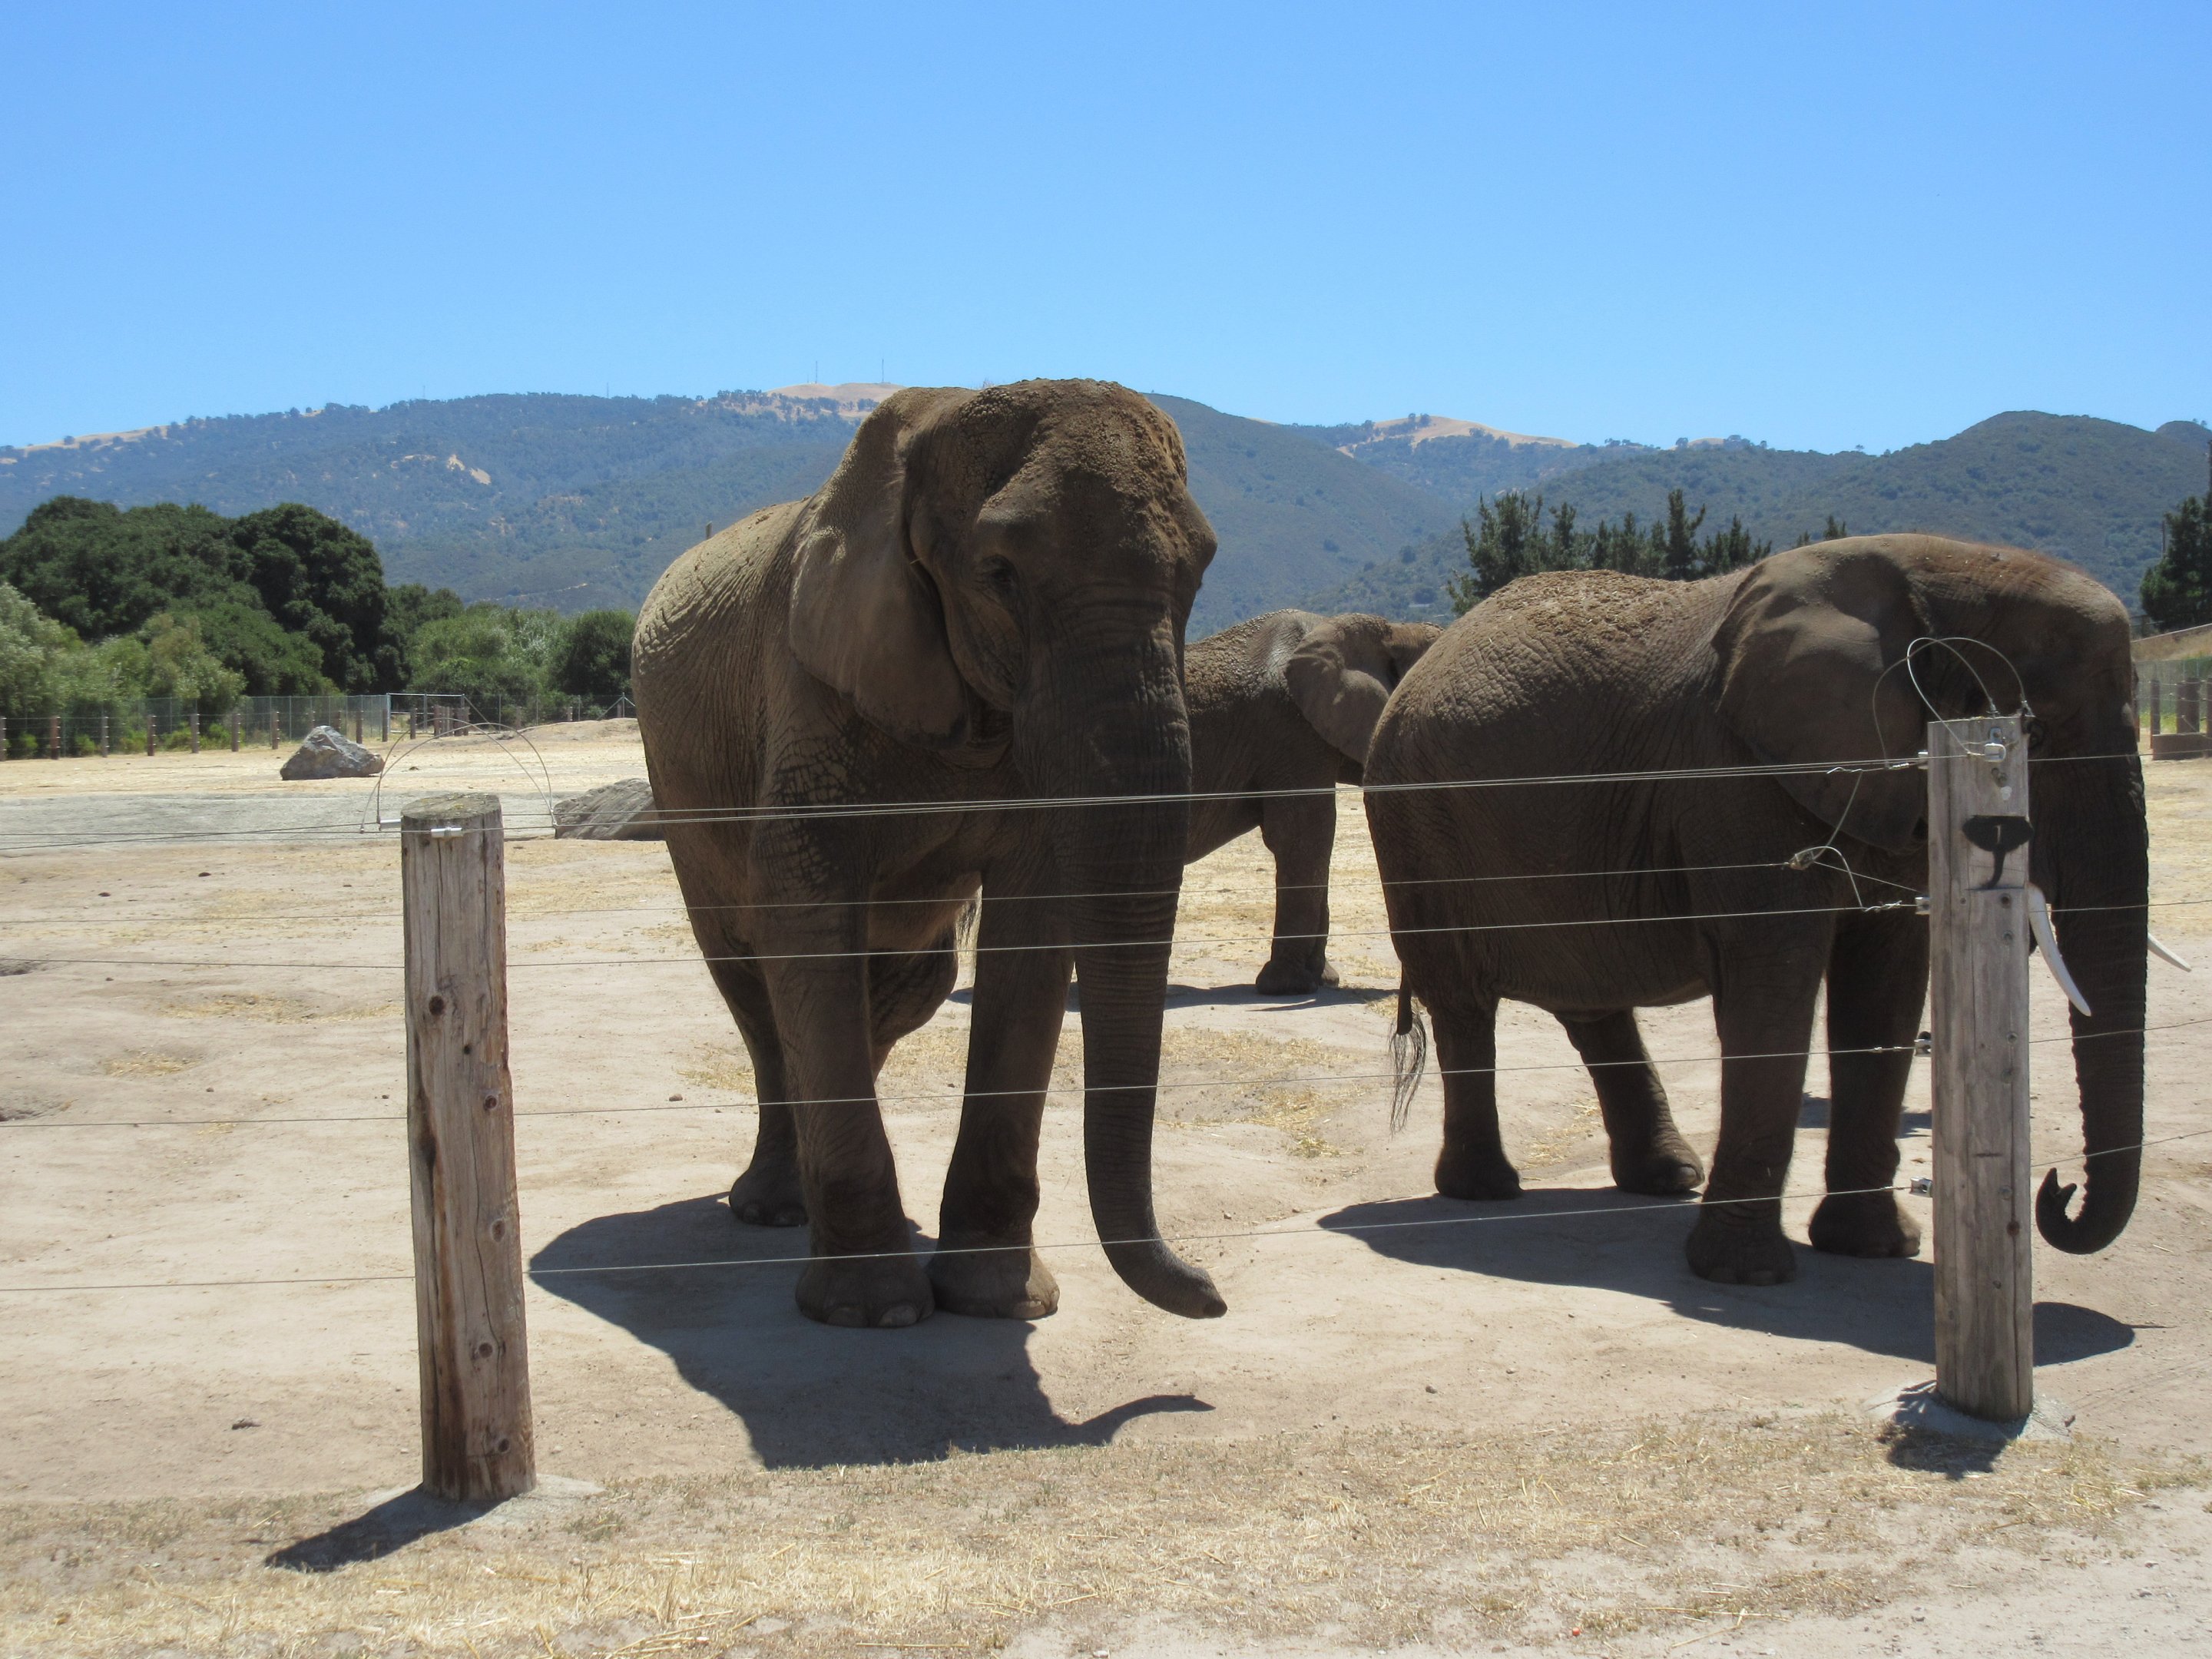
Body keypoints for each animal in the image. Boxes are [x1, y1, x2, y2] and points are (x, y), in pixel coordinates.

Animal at [632, 380, 1226, 1328]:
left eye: (1199, 573)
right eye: (1001, 574)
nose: (1212, 1291)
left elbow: (1035, 922)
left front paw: (999, 1302)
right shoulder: (810, 684)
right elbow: (802, 905)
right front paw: (874, 1314)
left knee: (904, 985)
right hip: (679, 784)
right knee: (751, 979)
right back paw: (772, 1211)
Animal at [1365, 536, 2148, 1285]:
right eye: (2032, 739)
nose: (2057, 1192)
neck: (1938, 566)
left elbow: (1887, 980)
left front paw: (1873, 1250)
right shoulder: (1735, 779)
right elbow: (1776, 972)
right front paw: (1746, 1276)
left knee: (1592, 997)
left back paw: (1666, 1178)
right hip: (1416, 828)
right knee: (1466, 1004)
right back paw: (1485, 1189)